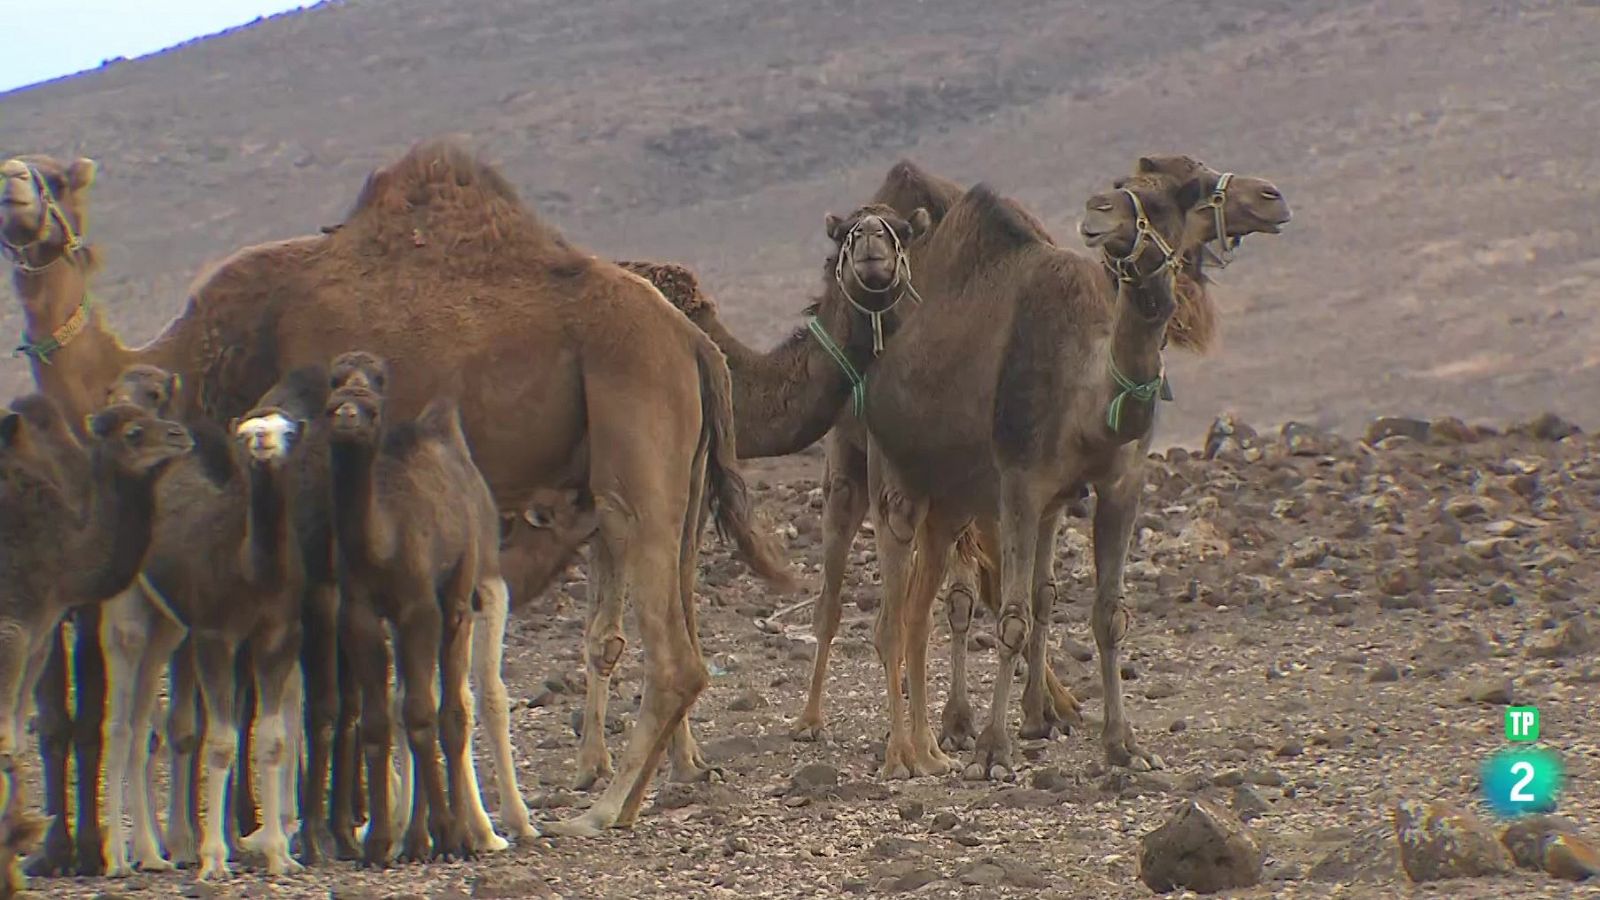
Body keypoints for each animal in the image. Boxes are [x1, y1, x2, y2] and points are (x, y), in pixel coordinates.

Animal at [4, 136, 793, 839]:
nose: (14, 185)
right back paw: (626, 800)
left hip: (637, 456)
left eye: (57, 179)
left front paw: (335, 822)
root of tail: (693, 341)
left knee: (675, 655)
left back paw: (596, 812)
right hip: (679, 481)